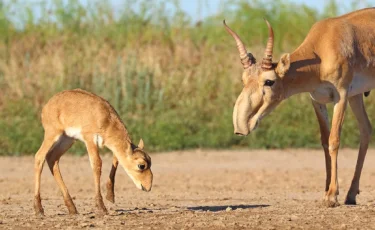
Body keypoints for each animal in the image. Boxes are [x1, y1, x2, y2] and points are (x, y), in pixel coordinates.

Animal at [33, 88, 153, 216]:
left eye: (150, 160)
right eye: (141, 165)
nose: (148, 187)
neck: (106, 117)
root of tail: (47, 105)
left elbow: (116, 159)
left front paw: (110, 196)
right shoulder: (90, 139)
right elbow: (97, 164)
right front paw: (101, 207)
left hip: (67, 140)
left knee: (52, 158)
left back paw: (72, 208)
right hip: (52, 135)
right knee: (39, 156)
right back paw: (39, 209)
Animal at [226, 8, 375, 207]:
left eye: (269, 81)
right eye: (244, 80)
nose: (241, 126)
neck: (322, 49)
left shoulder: (341, 96)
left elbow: (334, 141)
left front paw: (332, 196)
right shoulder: (317, 100)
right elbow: (325, 140)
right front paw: (326, 191)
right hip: (356, 96)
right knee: (366, 129)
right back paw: (351, 195)